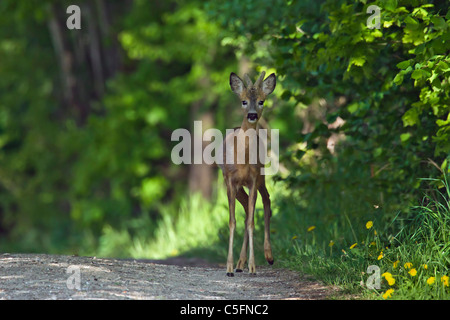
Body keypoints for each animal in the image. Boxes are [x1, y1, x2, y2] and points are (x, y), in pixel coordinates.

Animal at [219, 71, 278, 276]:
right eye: (243, 101)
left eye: (261, 101)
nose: (252, 115)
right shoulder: (230, 181)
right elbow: (232, 221)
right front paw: (229, 267)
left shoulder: (252, 179)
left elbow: (252, 222)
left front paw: (253, 267)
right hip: (237, 187)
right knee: (246, 209)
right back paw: (239, 264)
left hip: (261, 176)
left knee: (266, 200)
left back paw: (268, 256)